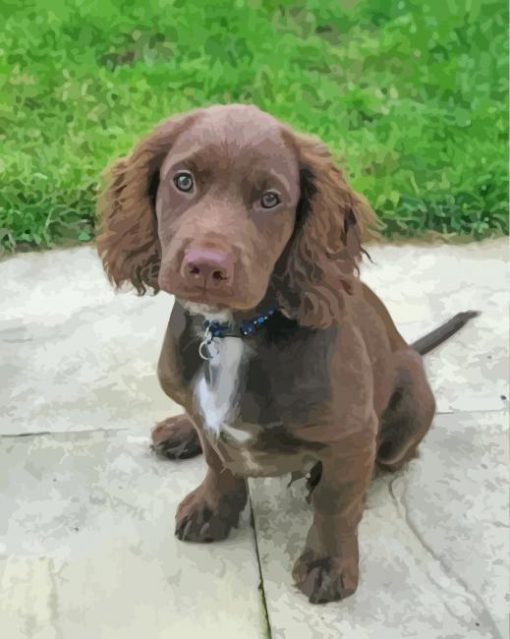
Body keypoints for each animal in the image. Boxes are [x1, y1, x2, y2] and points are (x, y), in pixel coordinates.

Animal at [95, 105, 478, 604]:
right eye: (183, 181)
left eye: (270, 199)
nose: (206, 267)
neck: (233, 333)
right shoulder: (207, 415)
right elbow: (219, 461)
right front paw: (213, 509)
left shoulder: (354, 431)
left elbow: (337, 500)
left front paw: (328, 563)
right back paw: (180, 430)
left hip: (413, 404)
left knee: (383, 463)